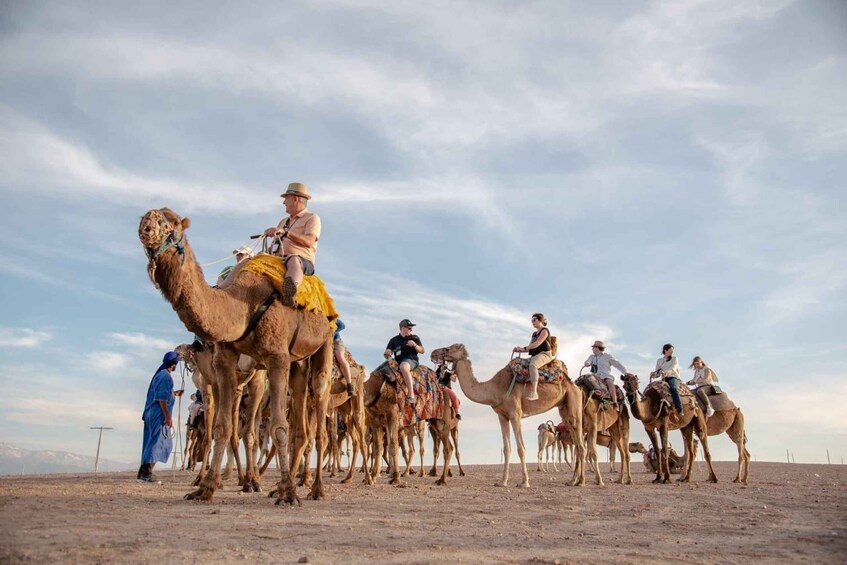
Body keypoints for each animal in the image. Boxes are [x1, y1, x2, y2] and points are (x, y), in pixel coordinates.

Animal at [137, 206, 332, 502]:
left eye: (172, 223)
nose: (146, 224)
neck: (243, 303)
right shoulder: (224, 362)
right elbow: (222, 428)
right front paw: (205, 488)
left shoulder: (275, 358)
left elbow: (278, 427)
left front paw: (286, 494)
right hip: (298, 364)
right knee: (300, 424)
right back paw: (276, 484)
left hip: (325, 344)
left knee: (318, 419)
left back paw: (315, 488)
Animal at [430, 344, 588, 484]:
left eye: (447, 349)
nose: (433, 353)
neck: (494, 388)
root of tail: (574, 385)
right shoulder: (502, 416)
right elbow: (507, 449)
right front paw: (502, 481)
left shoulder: (515, 414)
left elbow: (521, 448)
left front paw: (524, 482)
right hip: (564, 410)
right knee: (578, 443)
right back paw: (574, 480)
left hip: (574, 406)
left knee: (581, 445)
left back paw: (581, 481)